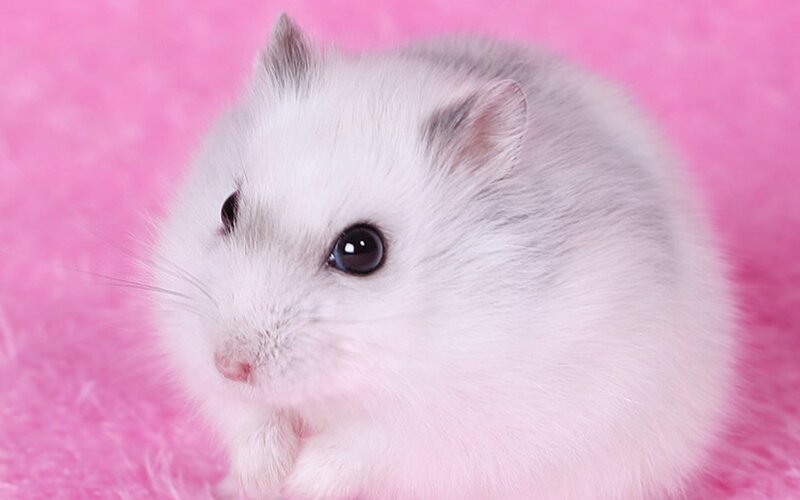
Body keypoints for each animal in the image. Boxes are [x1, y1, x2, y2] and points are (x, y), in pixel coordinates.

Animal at [150, 14, 735, 500]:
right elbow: (249, 419)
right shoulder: (197, 352)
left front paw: (301, 484)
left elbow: (363, 446)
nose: (230, 364)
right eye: (227, 208)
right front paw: (263, 478)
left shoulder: (446, 424)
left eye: (362, 251)